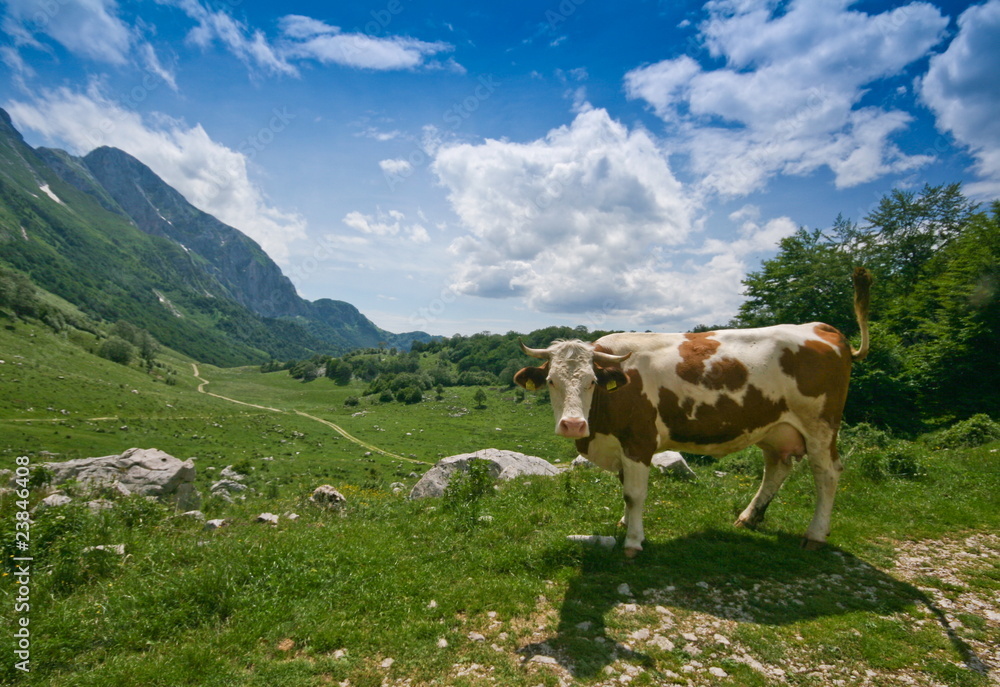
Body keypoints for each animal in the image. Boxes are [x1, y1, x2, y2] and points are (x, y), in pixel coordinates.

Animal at [516, 266, 876, 556]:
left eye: (592, 381)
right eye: (551, 381)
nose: (573, 425)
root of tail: (823, 329)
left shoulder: (638, 440)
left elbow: (634, 493)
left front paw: (633, 542)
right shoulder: (621, 444)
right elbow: (625, 490)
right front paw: (625, 524)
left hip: (820, 426)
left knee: (826, 474)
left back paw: (815, 535)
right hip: (774, 426)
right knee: (777, 468)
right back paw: (749, 518)